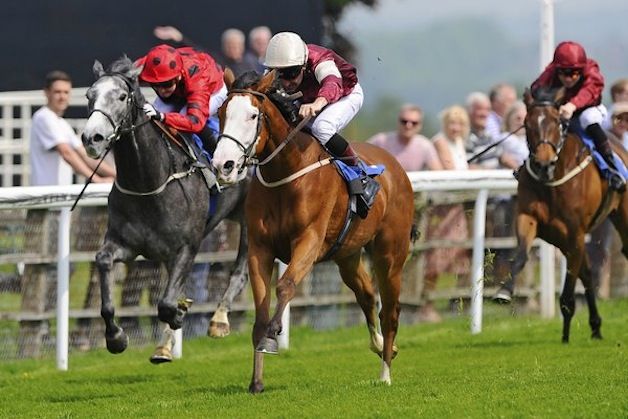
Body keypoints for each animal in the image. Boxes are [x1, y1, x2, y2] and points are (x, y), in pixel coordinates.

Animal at [81, 56, 250, 360]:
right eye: (89, 96)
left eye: (122, 96)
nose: (92, 138)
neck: (149, 183)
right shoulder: (126, 245)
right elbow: (104, 265)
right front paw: (116, 337)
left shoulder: (186, 248)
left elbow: (168, 304)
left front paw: (180, 314)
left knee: (240, 271)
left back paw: (219, 320)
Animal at [212, 72, 418, 394]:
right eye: (221, 113)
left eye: (253, 115)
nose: (223, 165)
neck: (285, 174)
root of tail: (396, 167)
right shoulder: (260, 248)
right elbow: (261, 309)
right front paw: (256, 381)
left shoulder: (308, 241)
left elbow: (285, 286)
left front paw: (273, 336)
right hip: (347, 256)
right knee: (367, 294)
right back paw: (380, 345)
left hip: (390, 255)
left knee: (391, 311)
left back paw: (385, 372)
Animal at [496, 87, 628, 342]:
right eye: (527, 123)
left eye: (557, 122)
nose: (543, 164)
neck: (553, 180)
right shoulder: (530, 219)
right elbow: (520, 255)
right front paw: (504, 292)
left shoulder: (575, 233)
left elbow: (568, 292)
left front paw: (566, 336)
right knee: (586, 273)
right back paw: (595, 326)